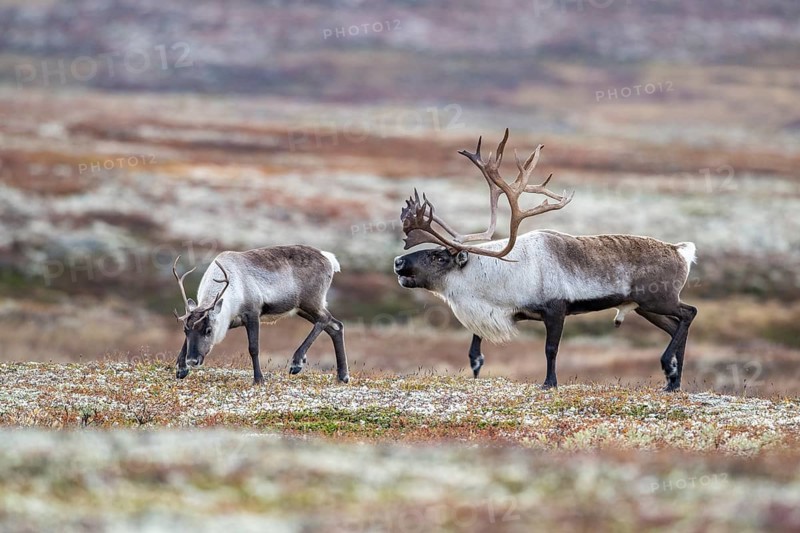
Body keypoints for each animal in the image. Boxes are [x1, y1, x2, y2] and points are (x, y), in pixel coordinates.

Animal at [172, 245, 349, 385]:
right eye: (185, 331)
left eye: (208, 330)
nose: (192, 361)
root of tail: (329, 259)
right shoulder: (231, 320)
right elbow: (185, 342)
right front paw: (181, 369)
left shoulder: (252, 313)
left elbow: (254, 348)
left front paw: (258, 379)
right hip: (302, 309)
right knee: (335, 326)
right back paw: (342, 376)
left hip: (311, 302)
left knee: (325, 319)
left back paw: (297, 363)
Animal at [393, 129, 697, 391]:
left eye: (438, 256)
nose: (397, 262)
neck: (497, 275)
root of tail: (680, 250)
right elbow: (474, 352)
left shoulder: (556, 308)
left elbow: (551, 349)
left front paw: (549, 383)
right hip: (644, 307)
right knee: (675, 327)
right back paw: (673, 383)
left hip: (658, 299)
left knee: (689, 313)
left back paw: (669, 369)